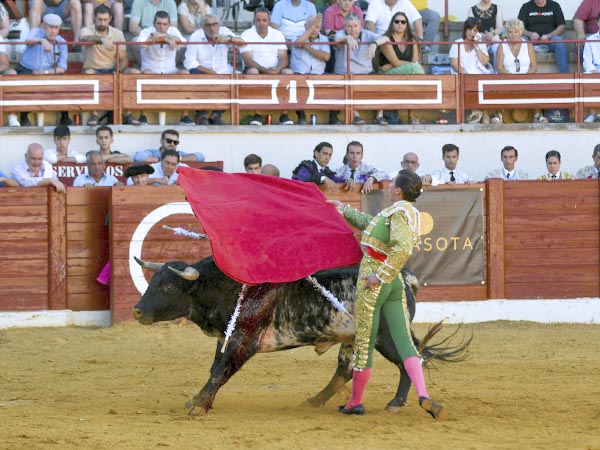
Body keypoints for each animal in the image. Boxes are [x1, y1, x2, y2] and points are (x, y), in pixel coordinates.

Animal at [134, 256, 466, 414]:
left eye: (167, 286)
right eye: (153, 282)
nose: (137, 311)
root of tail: (404, 278)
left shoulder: (243, 340)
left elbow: (221, 371)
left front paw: (198, 405)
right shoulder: (225, 338)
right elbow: (215, 368)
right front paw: (196, 400)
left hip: (386, 335)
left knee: (410, 359)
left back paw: (396, 402)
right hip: (352, 337)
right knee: (346, 370)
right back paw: (315, 401)